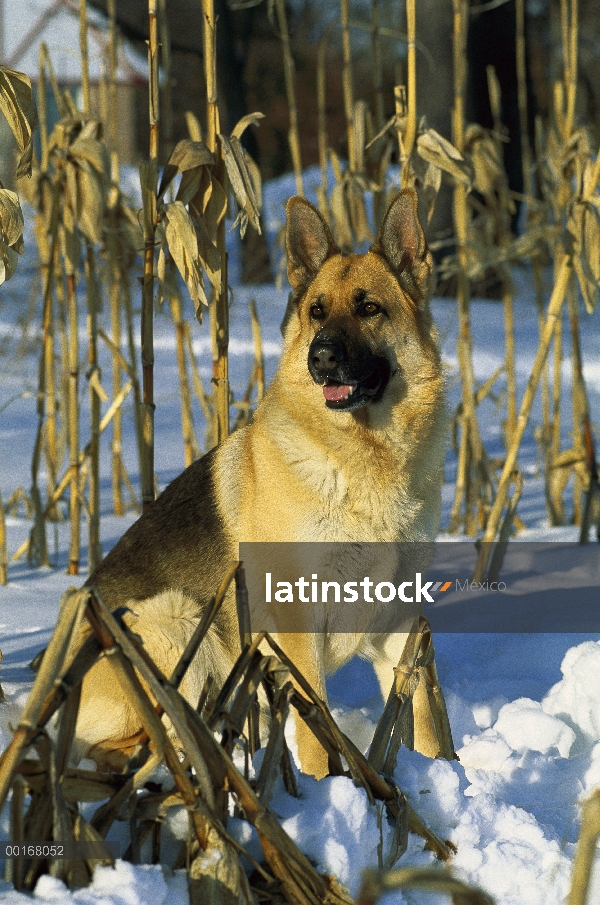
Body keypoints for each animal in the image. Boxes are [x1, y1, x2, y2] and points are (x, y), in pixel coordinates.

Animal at [74, 189, 446, 776]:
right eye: (317, 311)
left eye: (369, 308)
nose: (321, 356)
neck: (364, 461)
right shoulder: (297, 629)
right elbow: (317, 735)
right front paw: (326, 788)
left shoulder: (400, 623)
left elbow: (423, 718)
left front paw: (443, 775)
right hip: (174, 620)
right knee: (115, 746)